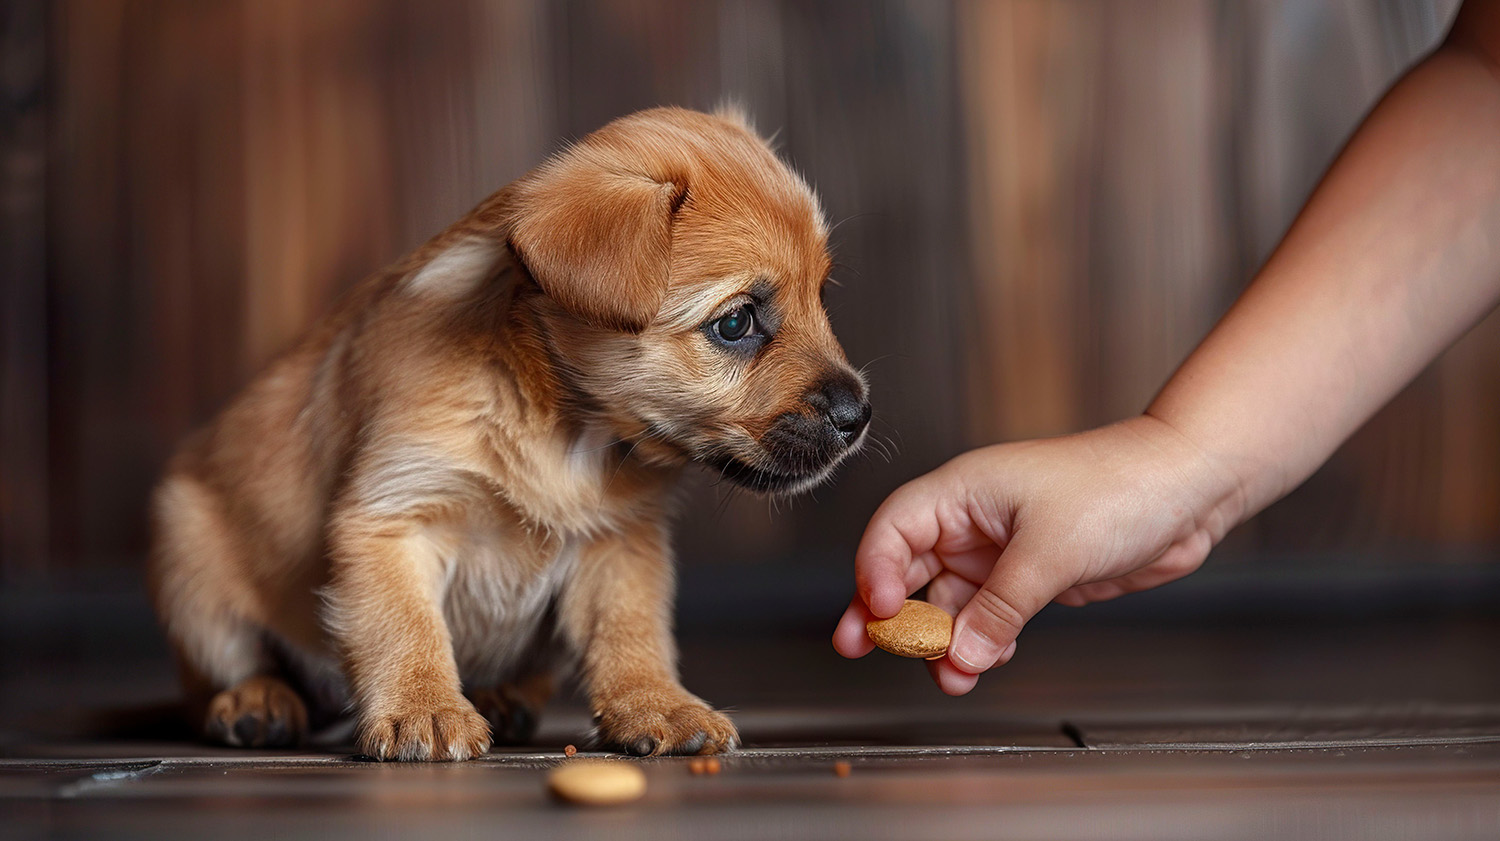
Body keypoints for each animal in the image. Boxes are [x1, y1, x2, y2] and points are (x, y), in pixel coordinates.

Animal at [146, 106, 876, 761]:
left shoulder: (620, 544)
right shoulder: (391, 518)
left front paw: (656, 703)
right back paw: (258, 700)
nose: (859, 414)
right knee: (230, 670)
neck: (564, 424)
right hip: (192, 570)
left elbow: (630, 633)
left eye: (821, 296)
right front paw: (422, 707)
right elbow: (404, 627)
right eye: (735, 323)